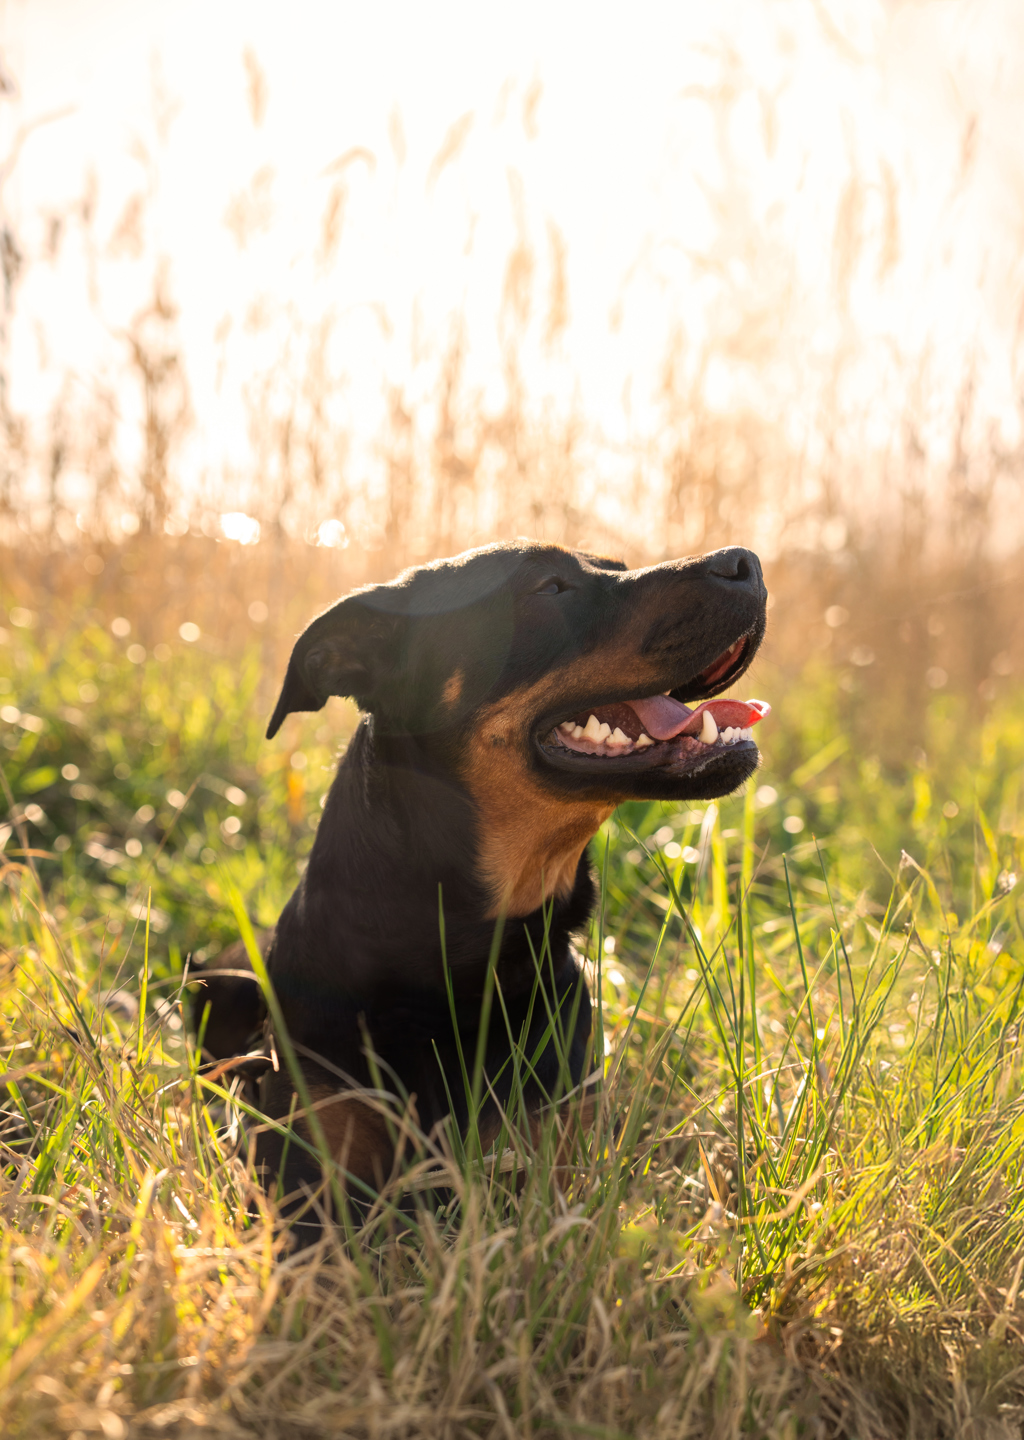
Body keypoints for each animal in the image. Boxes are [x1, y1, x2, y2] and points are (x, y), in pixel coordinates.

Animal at [196, 540, 768, 1229]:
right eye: (549, 587)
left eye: (616, 566)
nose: (746, 562)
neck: (459, 961)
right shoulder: (309, 1177)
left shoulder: (556, 1156)